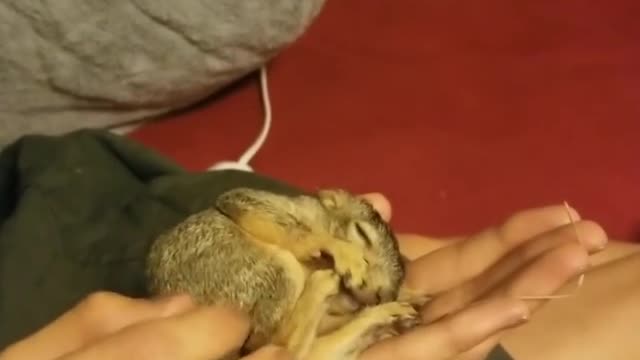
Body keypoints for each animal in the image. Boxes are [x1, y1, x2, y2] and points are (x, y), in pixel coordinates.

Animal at [144, 187, 424, 358]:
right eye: (362, 233)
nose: (381, 296)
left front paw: (398, 301)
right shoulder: (263, 203)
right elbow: (245, 202)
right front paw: (343, 251)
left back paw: (381, 317)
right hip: (262, 269)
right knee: (279, 345)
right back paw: (321, 287)